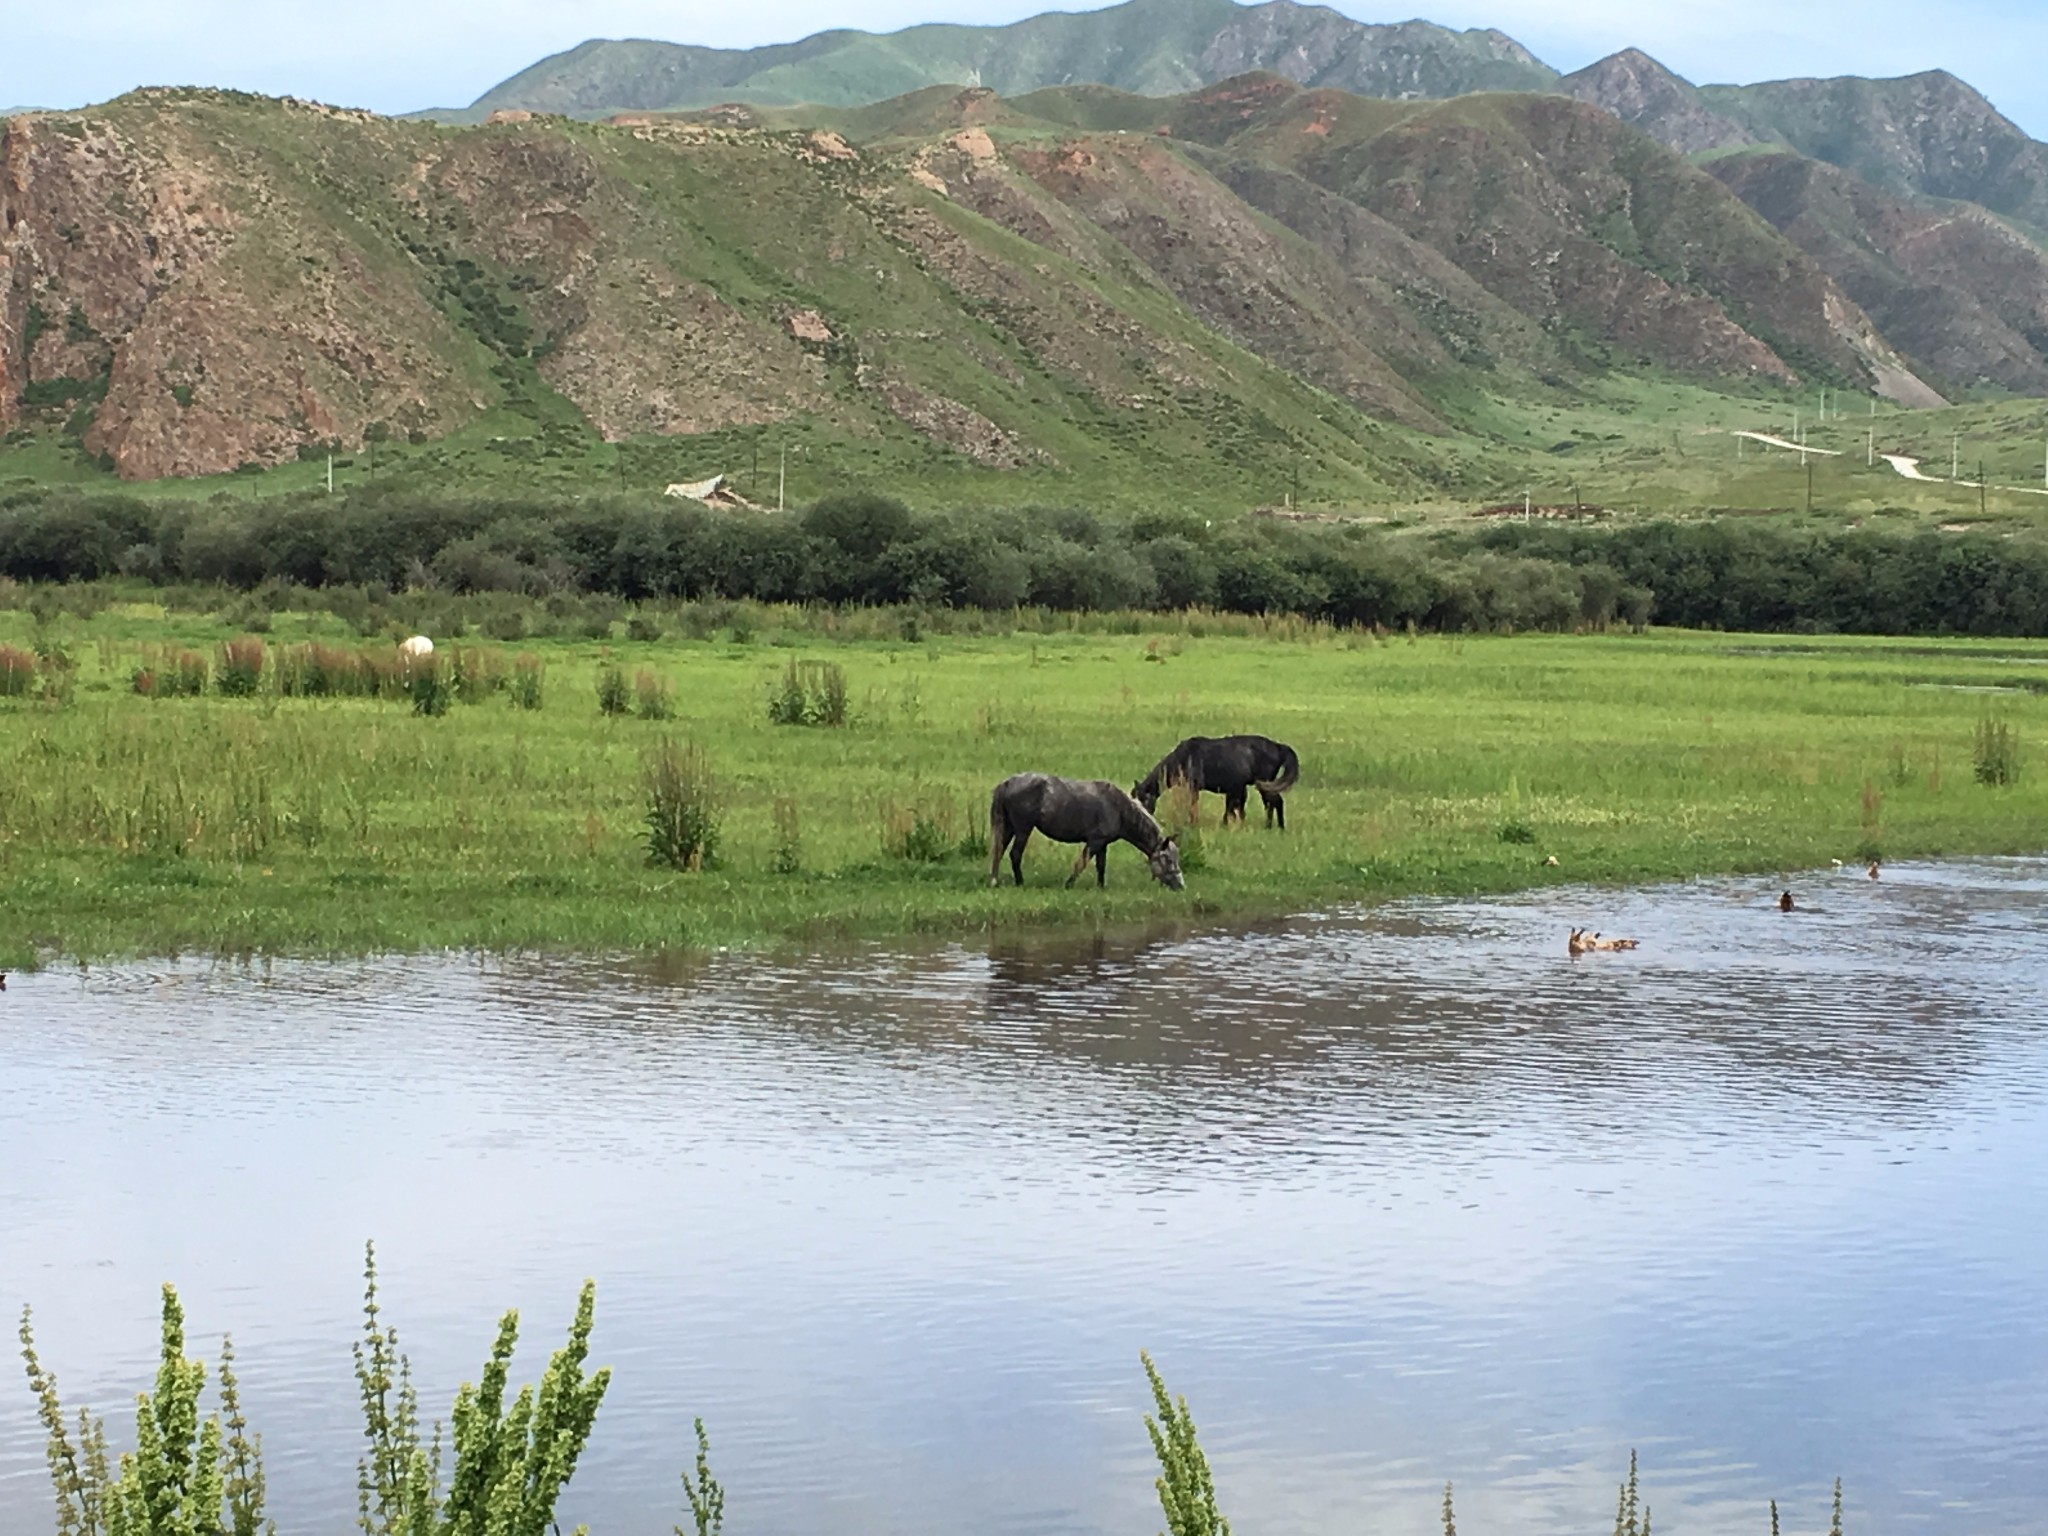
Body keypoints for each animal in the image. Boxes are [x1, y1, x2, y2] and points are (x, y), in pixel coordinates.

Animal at [987, 774, 1187, 897]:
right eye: (1169, 860)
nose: (1181, 886)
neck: (1118, 808)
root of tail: (1006, 784)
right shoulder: (1094, 842)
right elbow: (1081, 864)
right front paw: (1068, 885)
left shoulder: (1103, 844)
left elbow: (1101, 866)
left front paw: (1101, 887)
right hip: (1023, 829)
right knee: (1014, 854)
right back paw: (1020, 883)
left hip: (1009, 828)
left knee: (999, 852)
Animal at [1138, 733, 1294, 831]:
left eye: (1144, 800)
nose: (1144, 818)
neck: (1183, 757)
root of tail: (1277, 746)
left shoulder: (1194, 786)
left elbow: (1194, 806)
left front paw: (1193, 823)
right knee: (1271, 803)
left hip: (1265, 784)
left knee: (1275, 802)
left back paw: (1276, 827)